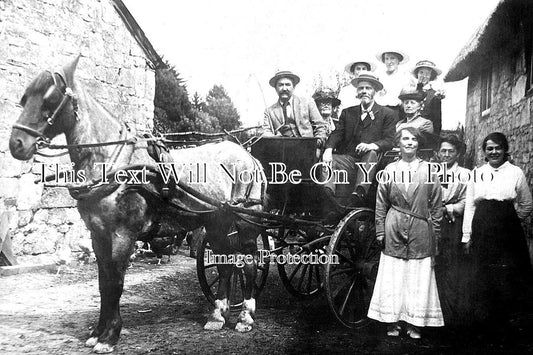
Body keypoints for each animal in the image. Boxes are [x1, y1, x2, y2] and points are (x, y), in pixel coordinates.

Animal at [8, 55, 264, 354]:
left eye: (50, 98)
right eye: (25, 98)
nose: (16, 144)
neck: (113, 163)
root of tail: (249, 156)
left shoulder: (123, 235)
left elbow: (116, 284)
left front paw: (110, 336)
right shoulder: (98, 236)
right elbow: (103, 284)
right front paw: (97, 332)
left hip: (246, 223)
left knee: (248, 264)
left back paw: (245, 317)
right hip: (216, 223)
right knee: (225, 264)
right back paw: (217, 315)